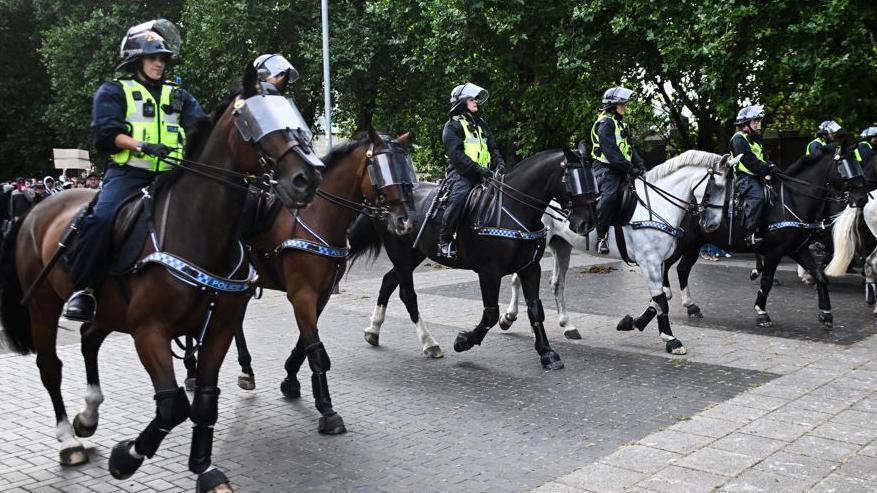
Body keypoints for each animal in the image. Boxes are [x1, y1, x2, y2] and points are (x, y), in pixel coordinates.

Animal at [0, 63, 322, 490]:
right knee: (50, 367)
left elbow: (204, 401)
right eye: (251, 120)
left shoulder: (218, 329)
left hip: (107, 310)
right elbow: (172, 406)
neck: (199, 231)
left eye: (293, 114)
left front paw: (204, 468)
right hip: (42, 304)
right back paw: (69, 439)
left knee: (88, 339)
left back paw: (89, 416)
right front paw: (125, 458)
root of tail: (35, 210)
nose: (309, 177)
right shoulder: (150, 330)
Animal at [186, 129, 418, 432]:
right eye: (381, 169)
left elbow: (304, 342)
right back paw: (192, 370)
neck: (316, 215)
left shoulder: (321, 294)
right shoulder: (302, 294)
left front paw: (290, 380)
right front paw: (327, 410)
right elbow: (315, 348)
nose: (406, 222)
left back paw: (245, 370)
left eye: (406, 167)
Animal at [500, 150, 732, 354]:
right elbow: (661, 300)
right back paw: (508, 317)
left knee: (557, 283)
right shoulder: (649, 262)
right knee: (517, 279)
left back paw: (567, 325)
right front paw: (670, 339)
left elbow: (660, 297)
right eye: (717, 186)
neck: (657, 205)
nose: (712, 225)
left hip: (561, 245)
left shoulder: (659, 263)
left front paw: (632, 323)